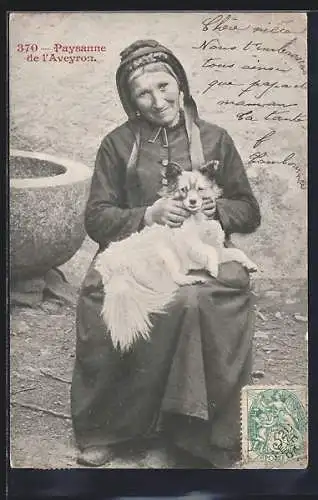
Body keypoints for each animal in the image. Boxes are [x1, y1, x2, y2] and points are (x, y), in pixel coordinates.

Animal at [95, 160, 258, 352]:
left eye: (200, 189)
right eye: (184, 190)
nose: (193, 201)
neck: (197, 218)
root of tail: (116, 270)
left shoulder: (220, 250)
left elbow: (236, 252)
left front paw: (250, 264)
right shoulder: (194, 245)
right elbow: (208, 251)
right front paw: (212, 269)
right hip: (165, 252)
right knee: (175, 278)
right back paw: (192, 279)